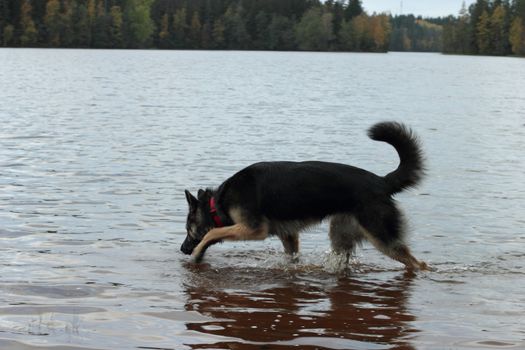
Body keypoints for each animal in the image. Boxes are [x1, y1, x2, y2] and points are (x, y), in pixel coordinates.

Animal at [180, 121, 426, 270]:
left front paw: (198, 253)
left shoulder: (254, 229)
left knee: (417, 263)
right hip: (340, 235)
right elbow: (292, 258)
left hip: (382, 238)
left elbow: (213, 233)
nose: (182, 249)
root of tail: (382, 181)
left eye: (188, 228)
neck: (218, 202)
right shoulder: (288, 235)